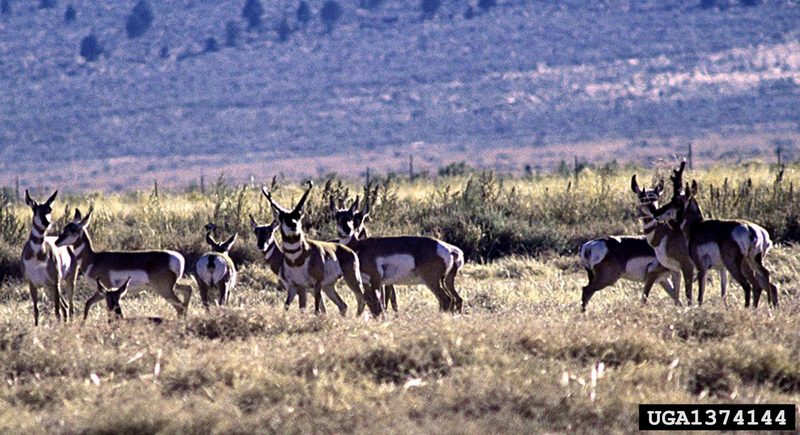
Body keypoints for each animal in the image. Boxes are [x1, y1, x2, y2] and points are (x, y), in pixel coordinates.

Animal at [21, 189, 77, 326]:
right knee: (65, 306)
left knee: (69, 306)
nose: (46, 223)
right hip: (49, 288)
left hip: (68, 280)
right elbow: (36, 310)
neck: (37, 256)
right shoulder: (32, 284)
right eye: (35, 209)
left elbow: (56, 312)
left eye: (49, 209)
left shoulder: (55, 282)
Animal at [54, 209, 194, 318]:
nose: (56, 242)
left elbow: (88, 303)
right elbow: (88, 303)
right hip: (171, 286)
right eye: (65, 227)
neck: (94, 259)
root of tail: (177, 258)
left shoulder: (105, 289)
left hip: (164, 289)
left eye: (73, 229)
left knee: (180, 306)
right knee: (188, 290)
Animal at [260, 181, 382, 316]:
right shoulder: (297, 287)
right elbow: (290, 307)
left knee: (363, 298)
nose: (293, 225)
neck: (296, 259)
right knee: (343, 305)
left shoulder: (316, 284)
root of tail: (348, 250)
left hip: (352, 280)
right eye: (282, 217)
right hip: (328, 287)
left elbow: (317, 310)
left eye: (298, 215)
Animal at [326, 195, 462, 314]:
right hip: (443, 281)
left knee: (447, 300)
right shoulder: (370, 283)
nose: (347, 231)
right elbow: (376, 304)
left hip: (432, 281)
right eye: (337, 217)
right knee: (453, 299)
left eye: (351, 217)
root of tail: (449, 249)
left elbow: (379, 305)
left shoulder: (376, 281)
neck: (360, 246)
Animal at [644, 181, 780, 310]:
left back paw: (747, 308)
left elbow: (700, 293)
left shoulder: (701, 267)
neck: (695, 225)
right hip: (751, 262)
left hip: (733, 265)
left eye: (676, 201)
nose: (656, 213)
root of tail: (751, 229)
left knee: (747, 285)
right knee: (763, 280)